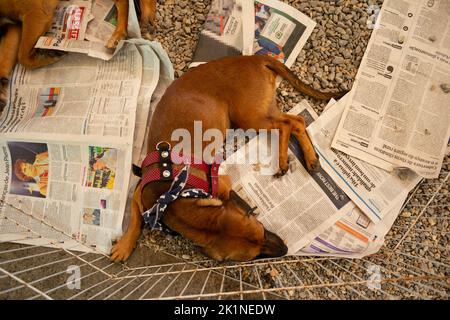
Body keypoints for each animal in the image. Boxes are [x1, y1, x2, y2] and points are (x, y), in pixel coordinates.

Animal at [0, 0, 157, 112]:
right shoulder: (13, 26)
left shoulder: (36, 12)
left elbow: (23, 56)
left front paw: (49, 53)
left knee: (124, 3)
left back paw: (123, 32)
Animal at [110, 55, 342, 262]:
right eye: (254, 254)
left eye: (262, 231)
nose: (285, 249)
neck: (170, 196)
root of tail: (254, 58)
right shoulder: (140, 193)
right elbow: (134, 218)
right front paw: (124, 244)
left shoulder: (221, 182)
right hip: (262, 112)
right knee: (296, 121)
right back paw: (311, 159)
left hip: (250, 117)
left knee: (285, 125)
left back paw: (284, 161)